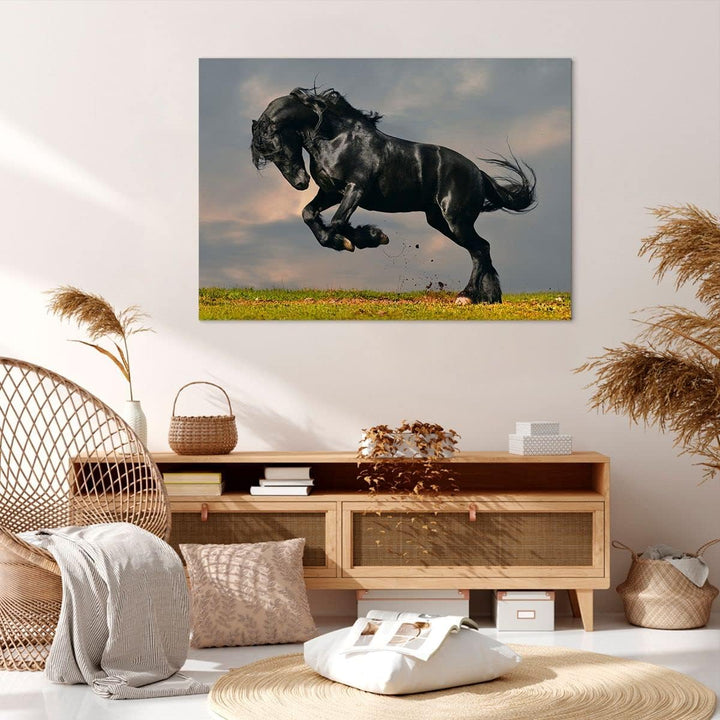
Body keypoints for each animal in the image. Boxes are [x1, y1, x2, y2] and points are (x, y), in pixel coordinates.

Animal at [251, 87, 536, 304]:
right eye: (267, 155)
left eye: (277, 147)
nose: (300, 183)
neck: (336, 138)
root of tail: (478, 172)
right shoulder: (331, 191)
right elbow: (309, 214)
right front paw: (355, 239)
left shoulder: (355, 189)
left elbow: (338, 222)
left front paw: (366, 238)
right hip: (441, 221)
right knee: (481, 249)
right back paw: (489, 297)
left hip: (456, 220)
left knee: (480, 249)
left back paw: (467, 296)